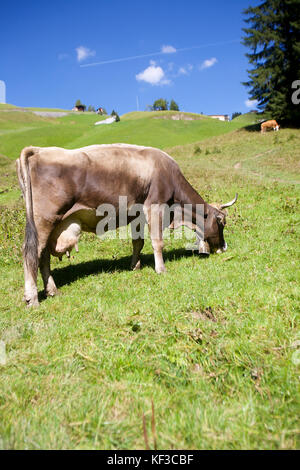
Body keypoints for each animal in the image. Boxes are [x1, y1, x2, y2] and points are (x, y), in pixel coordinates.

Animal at [16, 145, 238, 306]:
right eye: (222, 222)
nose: (224, 247)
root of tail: (39, 150)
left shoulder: (137, 214)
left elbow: (137, 243)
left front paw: (135, 266)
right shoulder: (154, 206)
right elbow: (157, 242)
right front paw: (161, 269)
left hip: (51, 224)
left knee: (43, 257)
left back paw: (52, 290)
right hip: (44, 220)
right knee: (31, 253)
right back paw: (32, 297)